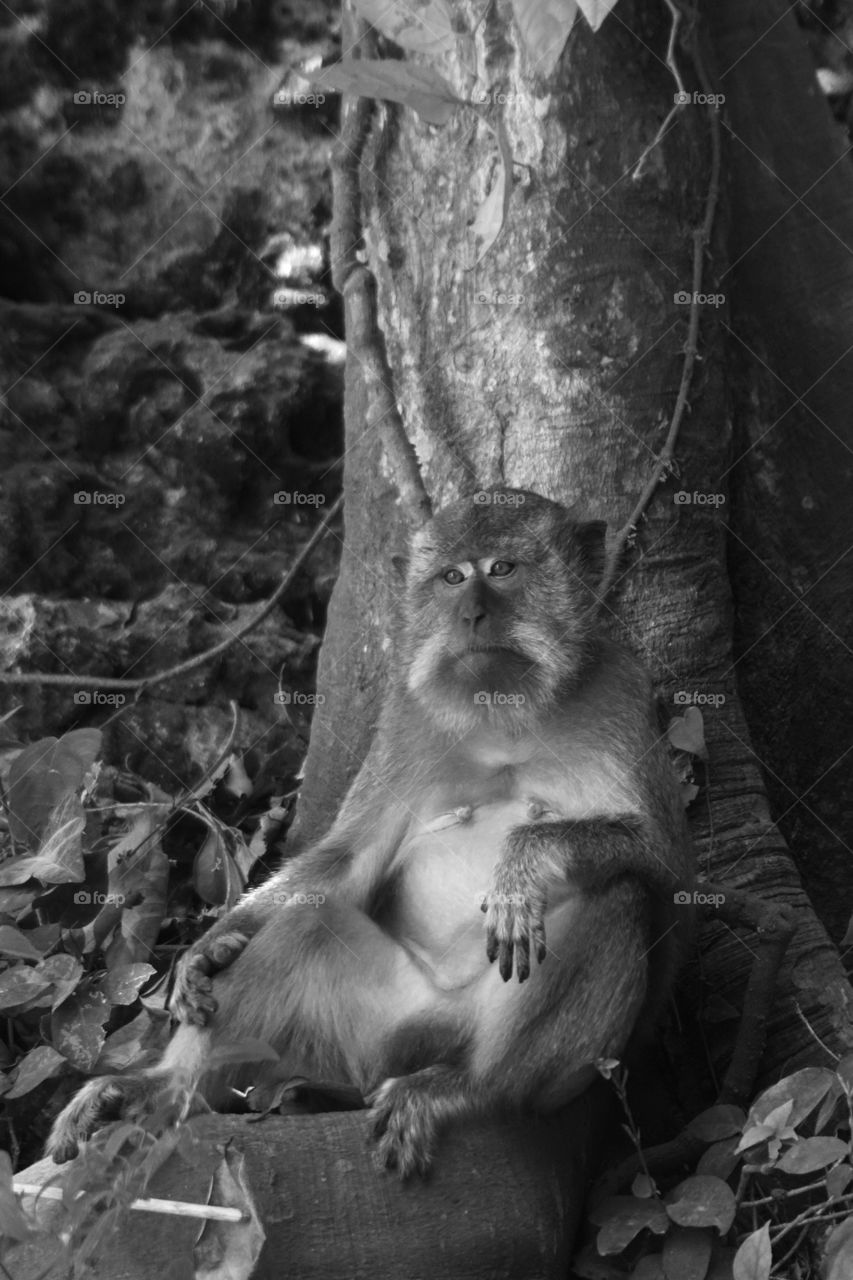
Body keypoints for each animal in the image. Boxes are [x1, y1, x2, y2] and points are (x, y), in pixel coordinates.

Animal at [47, 488, 693, 1177]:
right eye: (452, 577)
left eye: (502, 570)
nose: (471, 614)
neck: (504, 703)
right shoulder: (405, 717)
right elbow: (347, 859)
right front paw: (207, 946)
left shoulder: (622, 691)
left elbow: (666, 866)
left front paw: (523, 864)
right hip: (374, 1033)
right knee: (306, 922)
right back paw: (162, 1089)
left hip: (501, 1051)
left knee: (616, 895)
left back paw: (470, 1089)